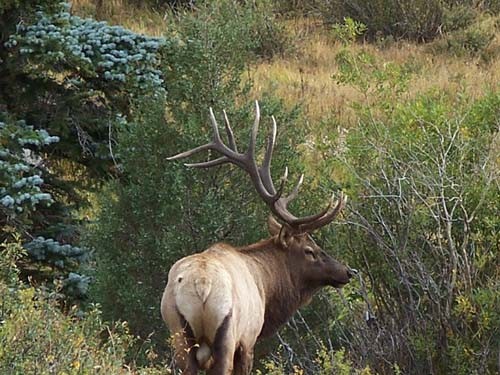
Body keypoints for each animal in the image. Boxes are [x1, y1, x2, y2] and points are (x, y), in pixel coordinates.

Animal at [161, 101, 356, 374]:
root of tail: (201, 283)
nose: (348, 271)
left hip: (177, 333)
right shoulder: (249, 339)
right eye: (309, 250)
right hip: (227, 333)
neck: (266, 285)